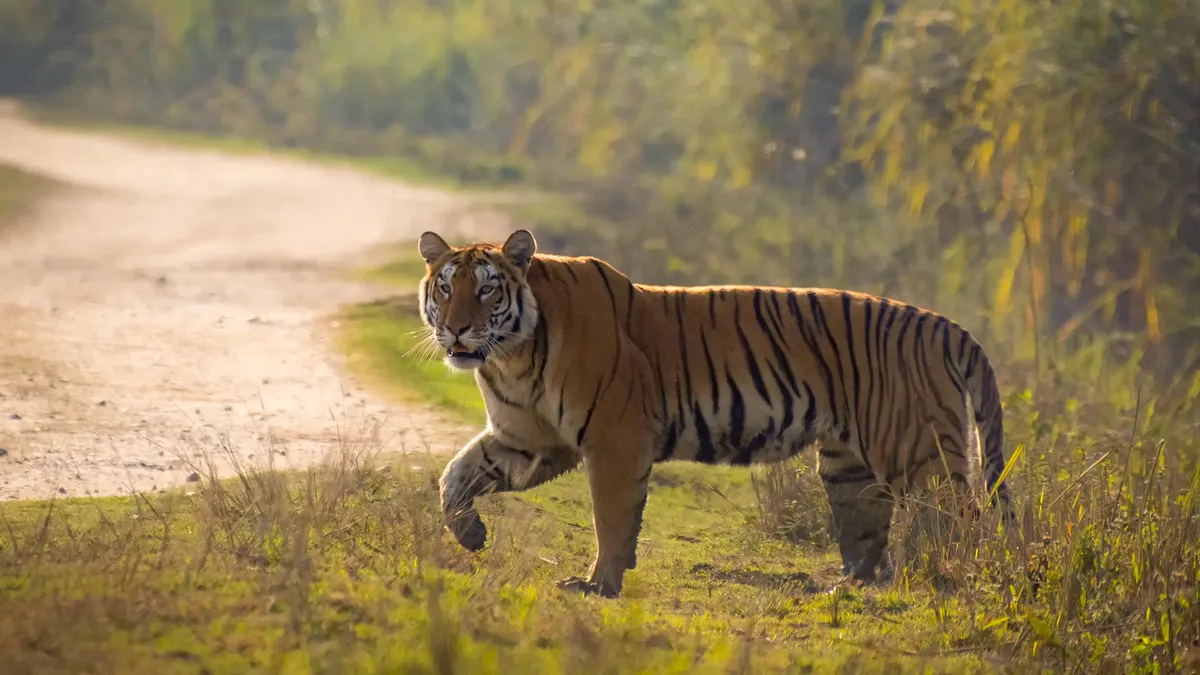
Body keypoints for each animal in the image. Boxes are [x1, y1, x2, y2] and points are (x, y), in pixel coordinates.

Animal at [418, 228, 1012, 598]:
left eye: (487, 290)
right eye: (444, 288)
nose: (455, 329)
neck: (512, 355)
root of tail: (945, 326)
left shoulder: (614, 439)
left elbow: (610, 517)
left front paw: (598, 586)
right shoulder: (529, 440)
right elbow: (455, 475)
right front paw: (469, 535)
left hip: (917, 454)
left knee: (957, 520)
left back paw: (942, 579)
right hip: (849, 467)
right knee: (868, 535)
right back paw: (847, 588)